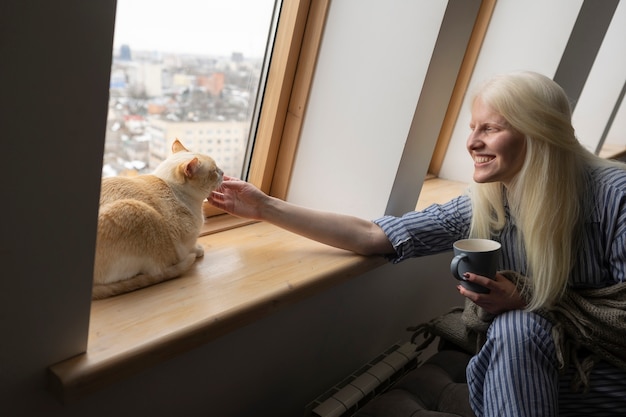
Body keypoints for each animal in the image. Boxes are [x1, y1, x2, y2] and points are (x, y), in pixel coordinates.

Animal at [91, 140, 221, 300]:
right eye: (214, 171)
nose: (223, 172)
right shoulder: (185, 242)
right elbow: (191, 247)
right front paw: (198, 250)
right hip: (140, 213)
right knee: (153, 271)